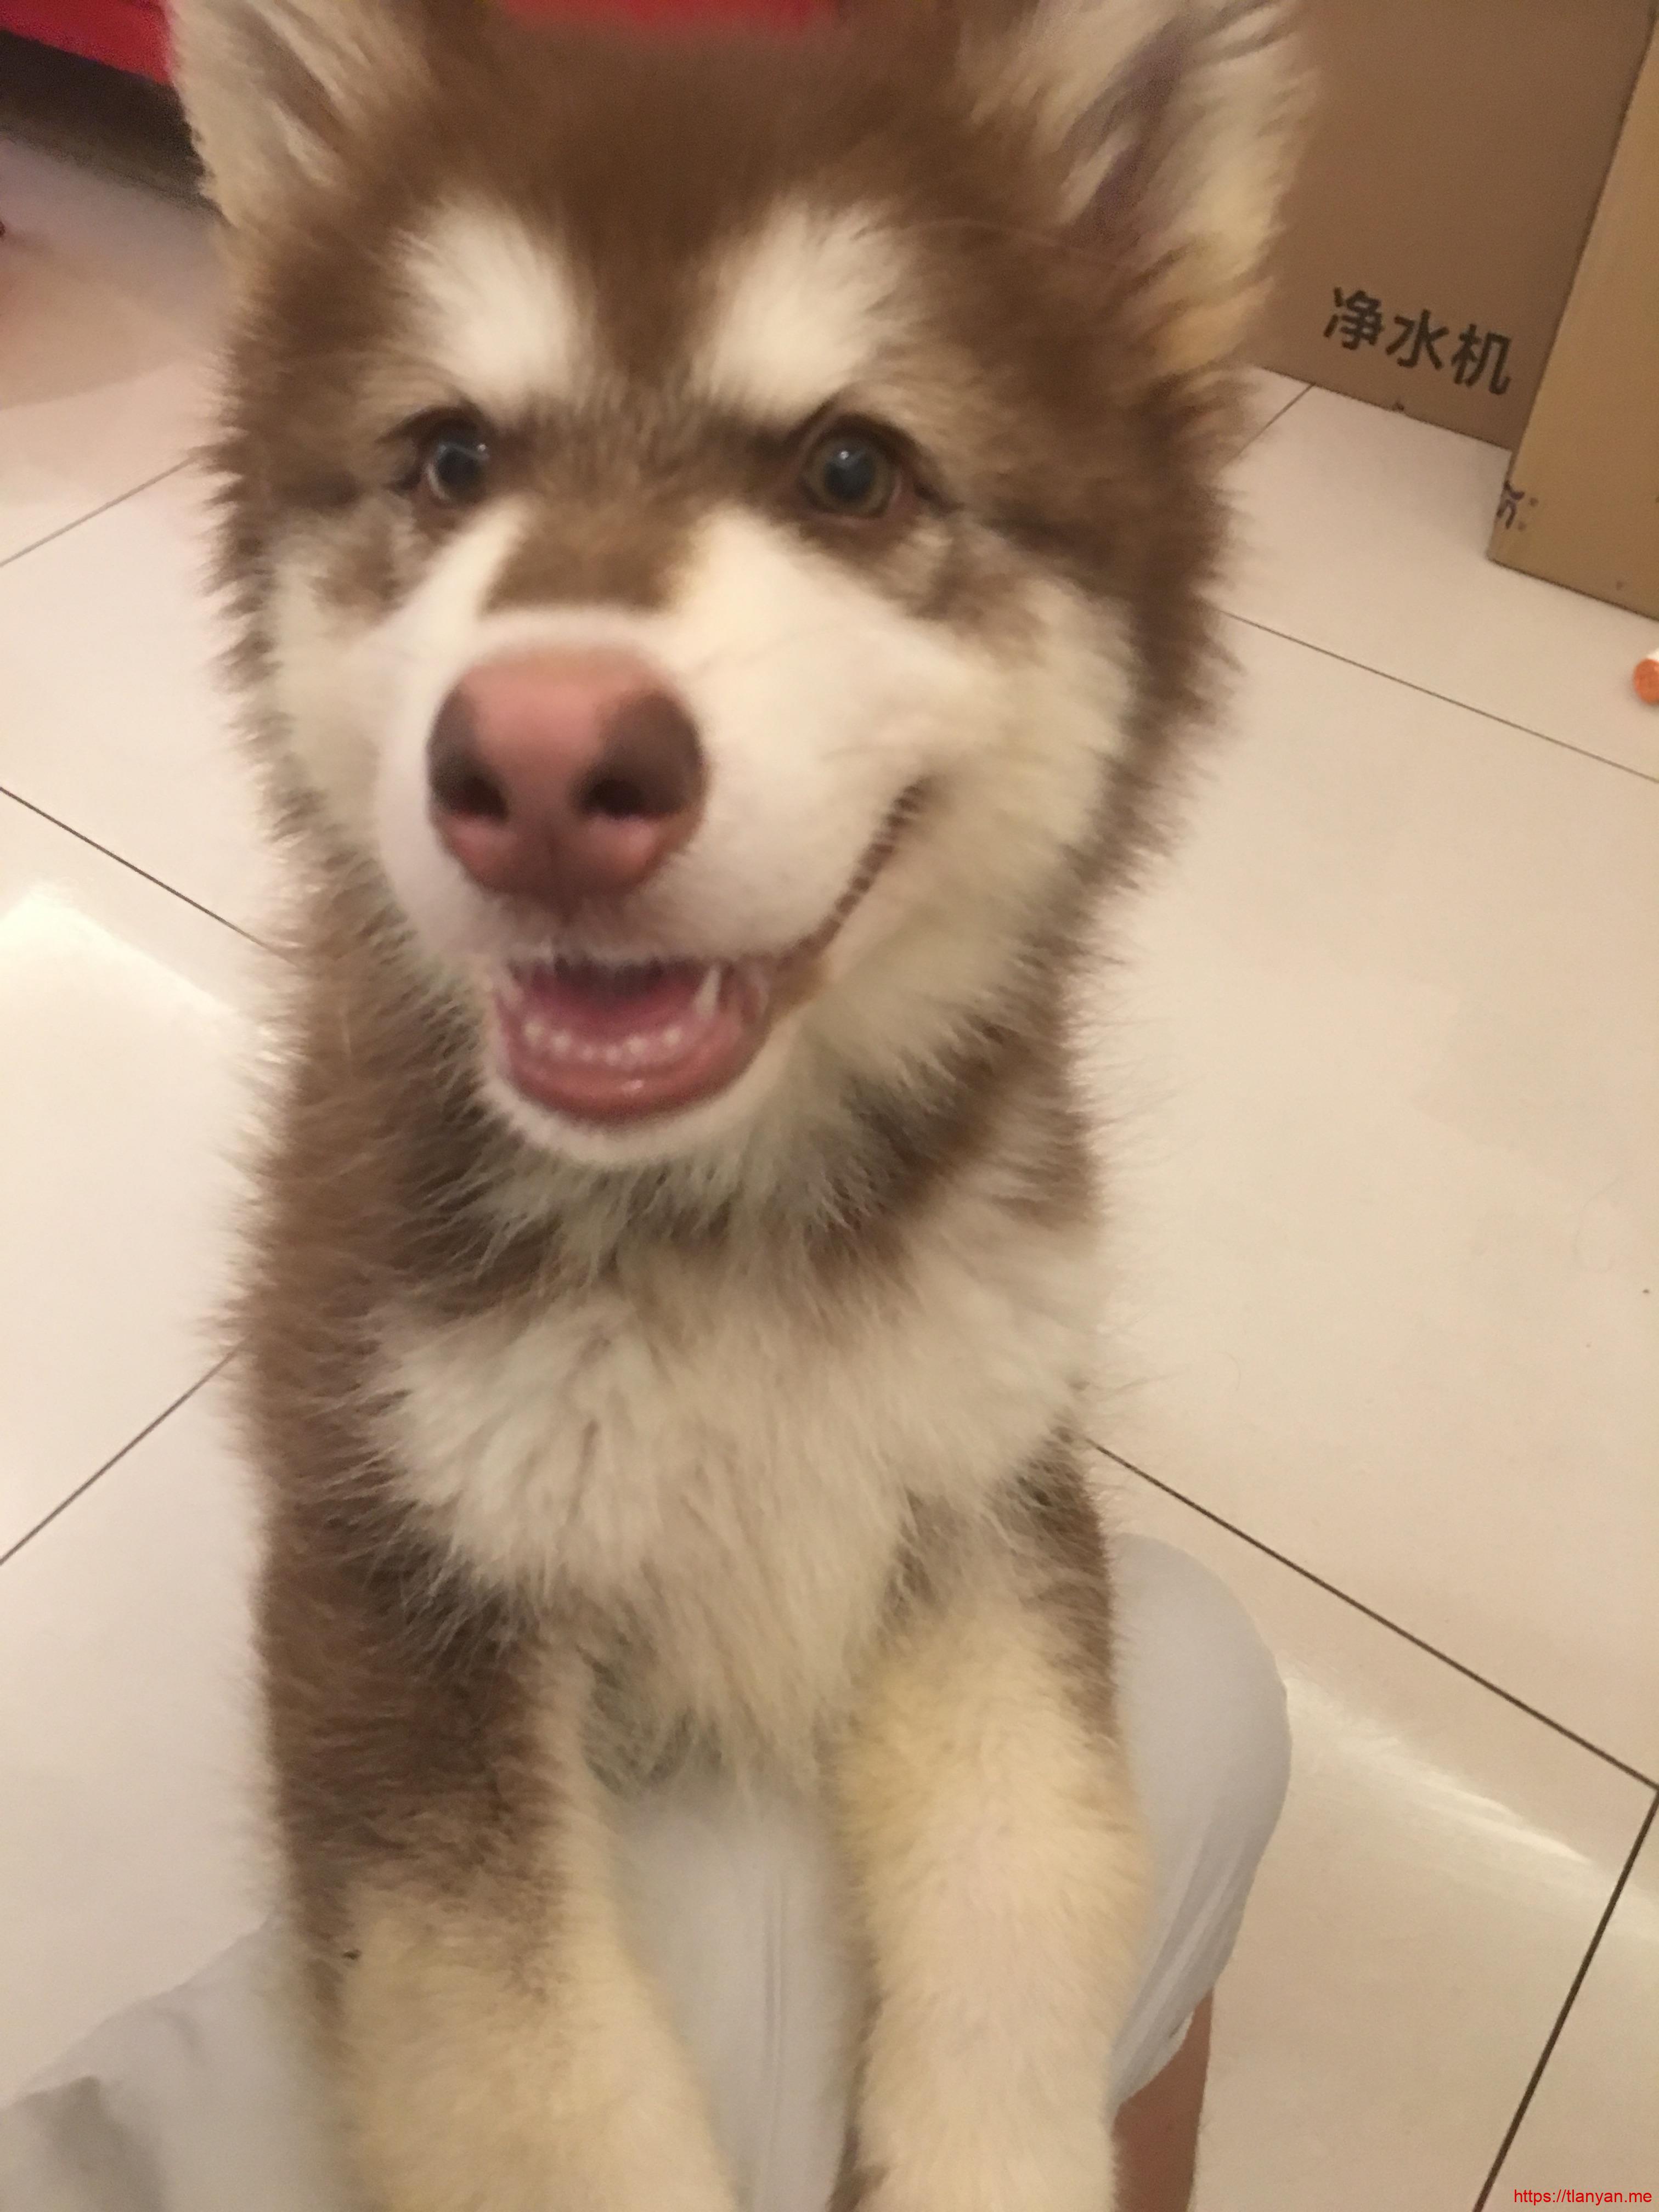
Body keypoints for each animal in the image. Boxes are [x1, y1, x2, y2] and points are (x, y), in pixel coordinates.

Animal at [170, 0, 1301, 2204]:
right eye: (451, 458)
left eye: (850, 470)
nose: (532, 764)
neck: (728, 1227)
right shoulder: (388, 1566)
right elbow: (528, 2071)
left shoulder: (981, 1473)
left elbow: (1049, 1872)